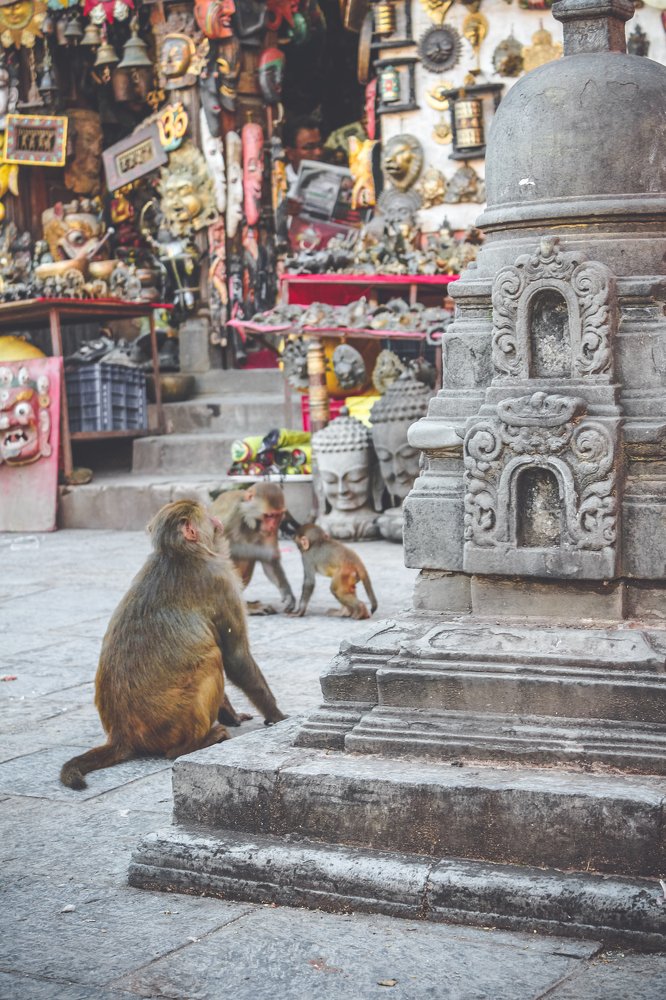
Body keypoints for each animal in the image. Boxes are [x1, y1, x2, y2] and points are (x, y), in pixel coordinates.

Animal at [60, 500, 286, 790]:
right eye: (206, 514)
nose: (217, 518)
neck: (179, 554)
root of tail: (122, 735)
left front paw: (232, 715)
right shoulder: (220, 578)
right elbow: (235, 657)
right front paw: (279, 717)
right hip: (171, 727)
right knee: (211, 658)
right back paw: (196, 744)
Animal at [209, 482, 296, 615]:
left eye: (277, 516)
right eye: (269, 516)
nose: (272, 526)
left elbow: (270, 562)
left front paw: (287, 593)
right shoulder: (230, 511)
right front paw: (261, 552)